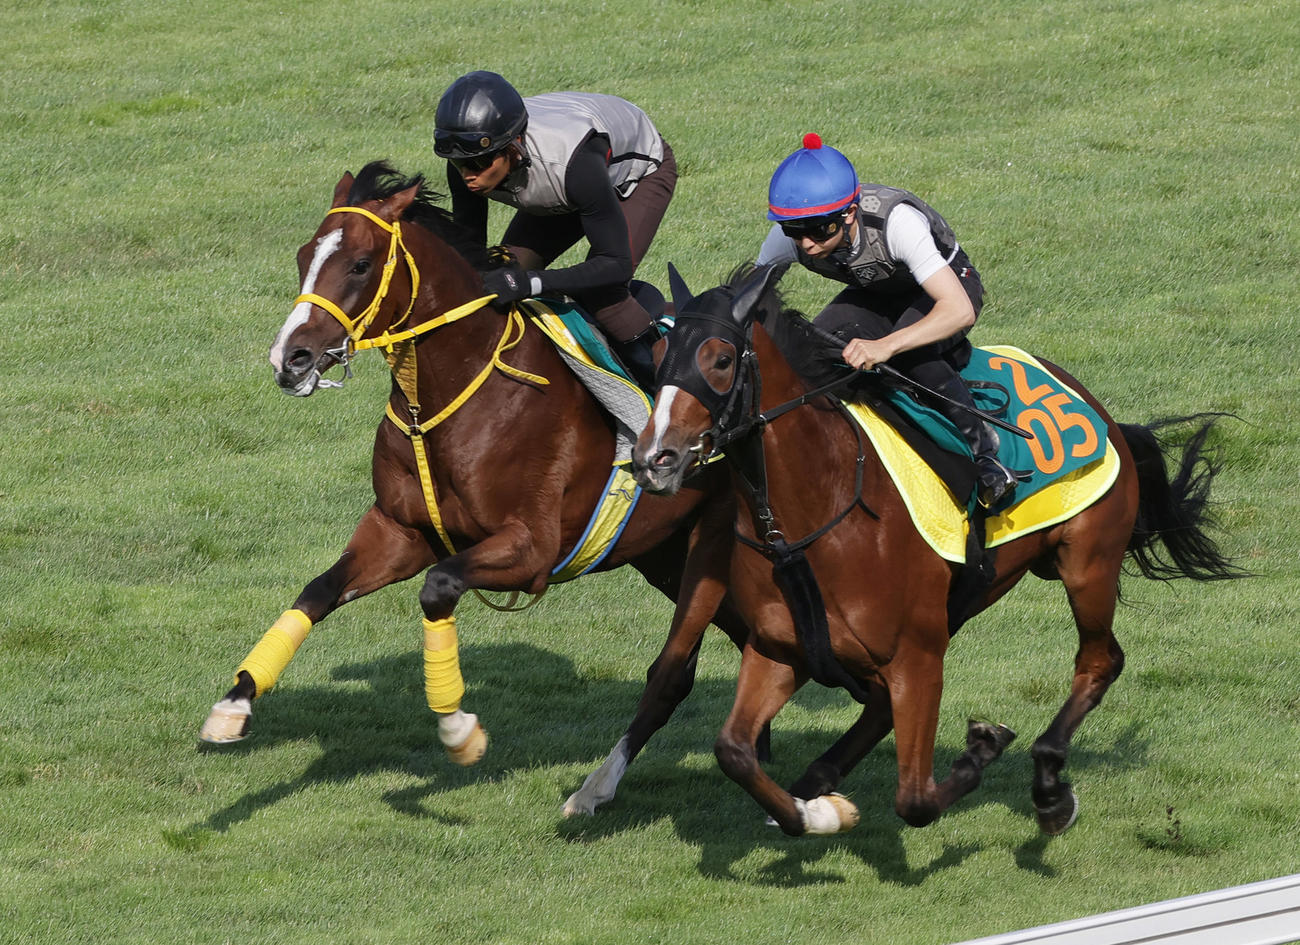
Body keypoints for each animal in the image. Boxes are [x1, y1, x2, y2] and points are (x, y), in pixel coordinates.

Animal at [199, 160, 743, 817]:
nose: (291, 359)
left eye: (359, 264)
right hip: (667, 555)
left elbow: (438, 589)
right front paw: (235, 703)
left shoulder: (531, 549)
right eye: (305, 255)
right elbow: (318, 591)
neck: (454, 393)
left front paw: (458, 728)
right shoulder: (401, 531)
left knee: (671, 673)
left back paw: (597, 789)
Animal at [631, 263, 1241, 837]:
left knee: (1099, 661)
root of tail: (1099, 410)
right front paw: (817, 813)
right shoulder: (780, 648)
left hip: (1087, 563)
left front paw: (982, 749)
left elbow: (916, 800)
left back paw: (1049, 788)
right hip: (966, 597)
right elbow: (733, 750)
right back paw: (819, 784)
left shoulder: (918, 658)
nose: (654, 459)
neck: (822, 511)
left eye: (720, 359)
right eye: (658, 360)